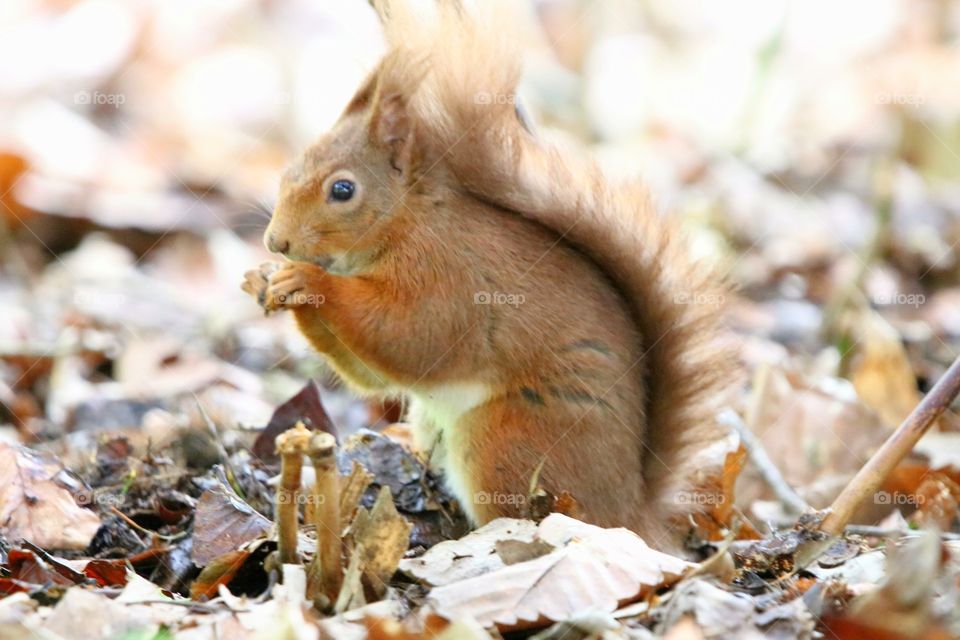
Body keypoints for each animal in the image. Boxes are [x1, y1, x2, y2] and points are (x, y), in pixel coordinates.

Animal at [242, 0, 732, 549]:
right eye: (289, 172)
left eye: (342, 190)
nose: (276, 242)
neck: (407, 220)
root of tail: (632, 511)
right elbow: (373, 374)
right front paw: (268, 281)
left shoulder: (449, 275)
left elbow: (410, 338)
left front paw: (311, 284)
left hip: (507, 438)